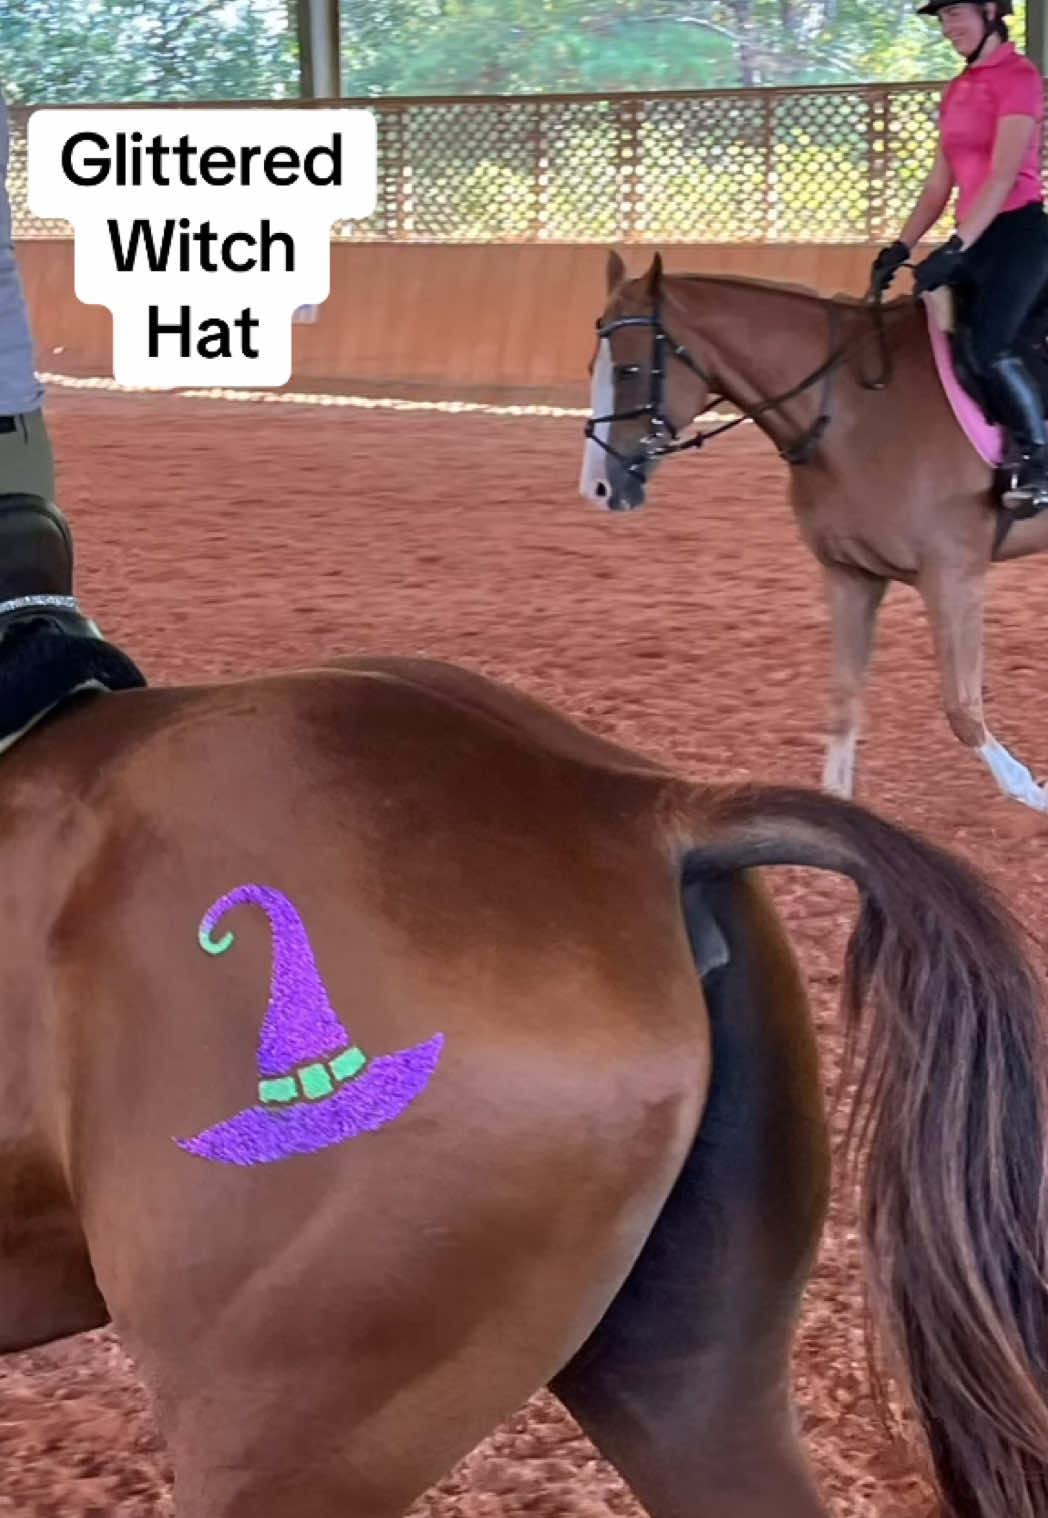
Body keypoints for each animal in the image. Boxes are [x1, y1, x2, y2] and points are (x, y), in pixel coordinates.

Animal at [579, 249, 1048, 812]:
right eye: (593, 368)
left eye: (628, 371)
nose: (598, 488)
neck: (852, 411)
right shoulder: (850, 574)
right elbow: (844, 703)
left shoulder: (953, 575)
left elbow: (961, 707)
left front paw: (1031, 791)